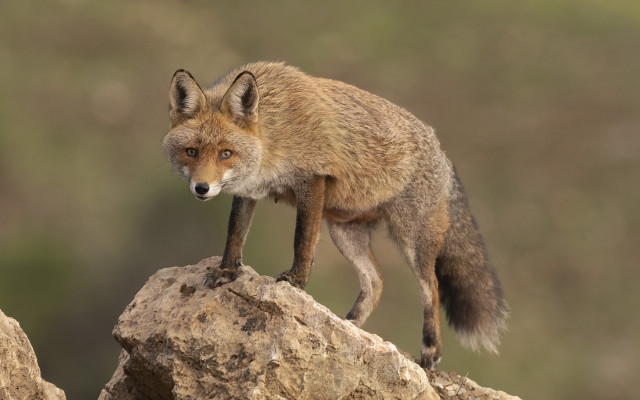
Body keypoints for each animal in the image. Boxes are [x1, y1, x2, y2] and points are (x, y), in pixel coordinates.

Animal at [163, 61, 508, 370]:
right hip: (344, 234)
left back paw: (430, 352)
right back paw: (350, 325)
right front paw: (227, 272)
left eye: (226, 154)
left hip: (411, 240)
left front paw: (296, 281)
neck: (274, 130)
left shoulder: (312, 179)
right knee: (376, 281)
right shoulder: (248, 191)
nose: (202, 188)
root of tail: (442, 153)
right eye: (191, 152)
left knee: (431, 288)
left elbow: (301, 240)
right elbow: (235, 234)